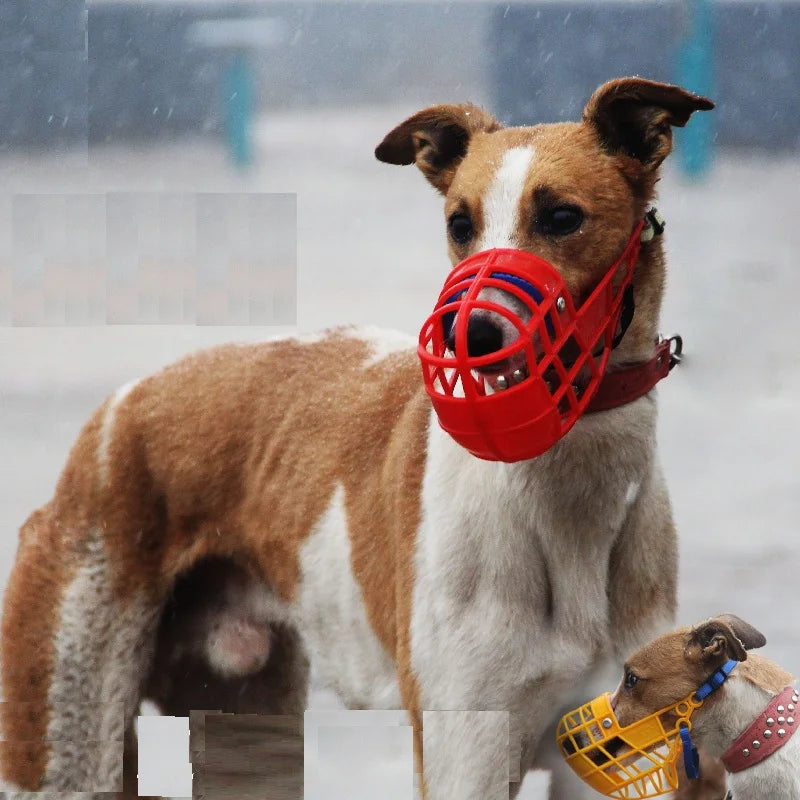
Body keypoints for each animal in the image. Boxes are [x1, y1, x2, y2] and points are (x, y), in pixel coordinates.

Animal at [0, 76, 712, 800]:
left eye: (563, 217)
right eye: (459, 224)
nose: (468, 333)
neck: (568, 500)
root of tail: (116, 412)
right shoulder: (467, 754)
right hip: (65, 737)